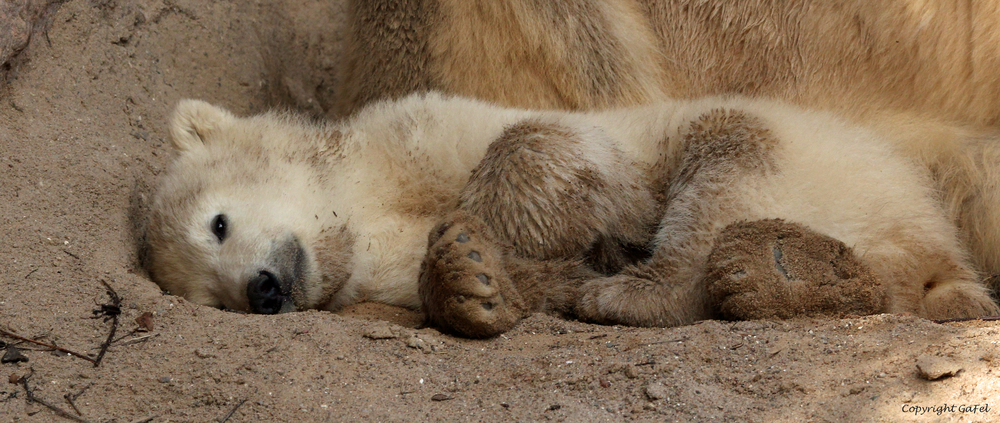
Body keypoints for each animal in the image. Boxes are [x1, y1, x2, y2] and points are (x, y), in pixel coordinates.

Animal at [150, 93, 1000, 338]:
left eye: (217, 222)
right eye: (209, 295)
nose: (261, 288)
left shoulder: (421, 128)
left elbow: (548, 146)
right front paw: (471, 280)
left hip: (825, 160)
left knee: (726, 154)